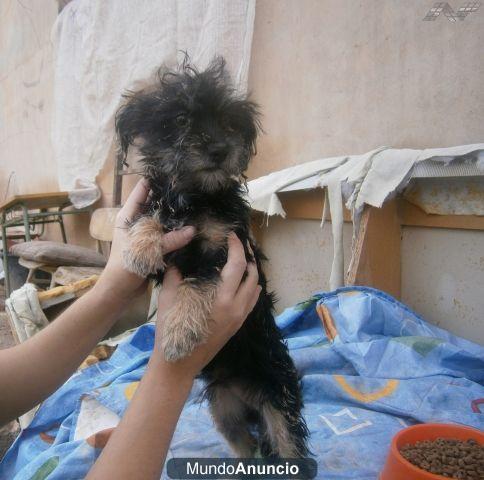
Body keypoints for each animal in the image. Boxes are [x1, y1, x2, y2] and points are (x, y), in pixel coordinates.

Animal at [115, 58, 308, 460]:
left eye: (230, 123)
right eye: (180, 119)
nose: (219, 149)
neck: (196, 197)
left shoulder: (225, 248)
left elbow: (198, 282)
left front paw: (178, 334)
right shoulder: (163, 208)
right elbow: (151, 215)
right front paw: (139, 250)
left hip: (278, 397)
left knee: (288, 446)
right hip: (225, 411)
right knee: (245, 445)